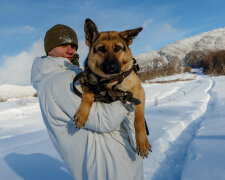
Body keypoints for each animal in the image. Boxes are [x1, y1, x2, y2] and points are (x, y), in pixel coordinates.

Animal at [74, 18, 151, 158]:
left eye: (118, 48)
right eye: (101, 49)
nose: (112, 68)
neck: (110, 80)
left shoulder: (138, 93)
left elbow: (138, 120)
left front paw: (142, 143)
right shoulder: (86, 83)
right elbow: (88, 97)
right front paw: (82, 115)